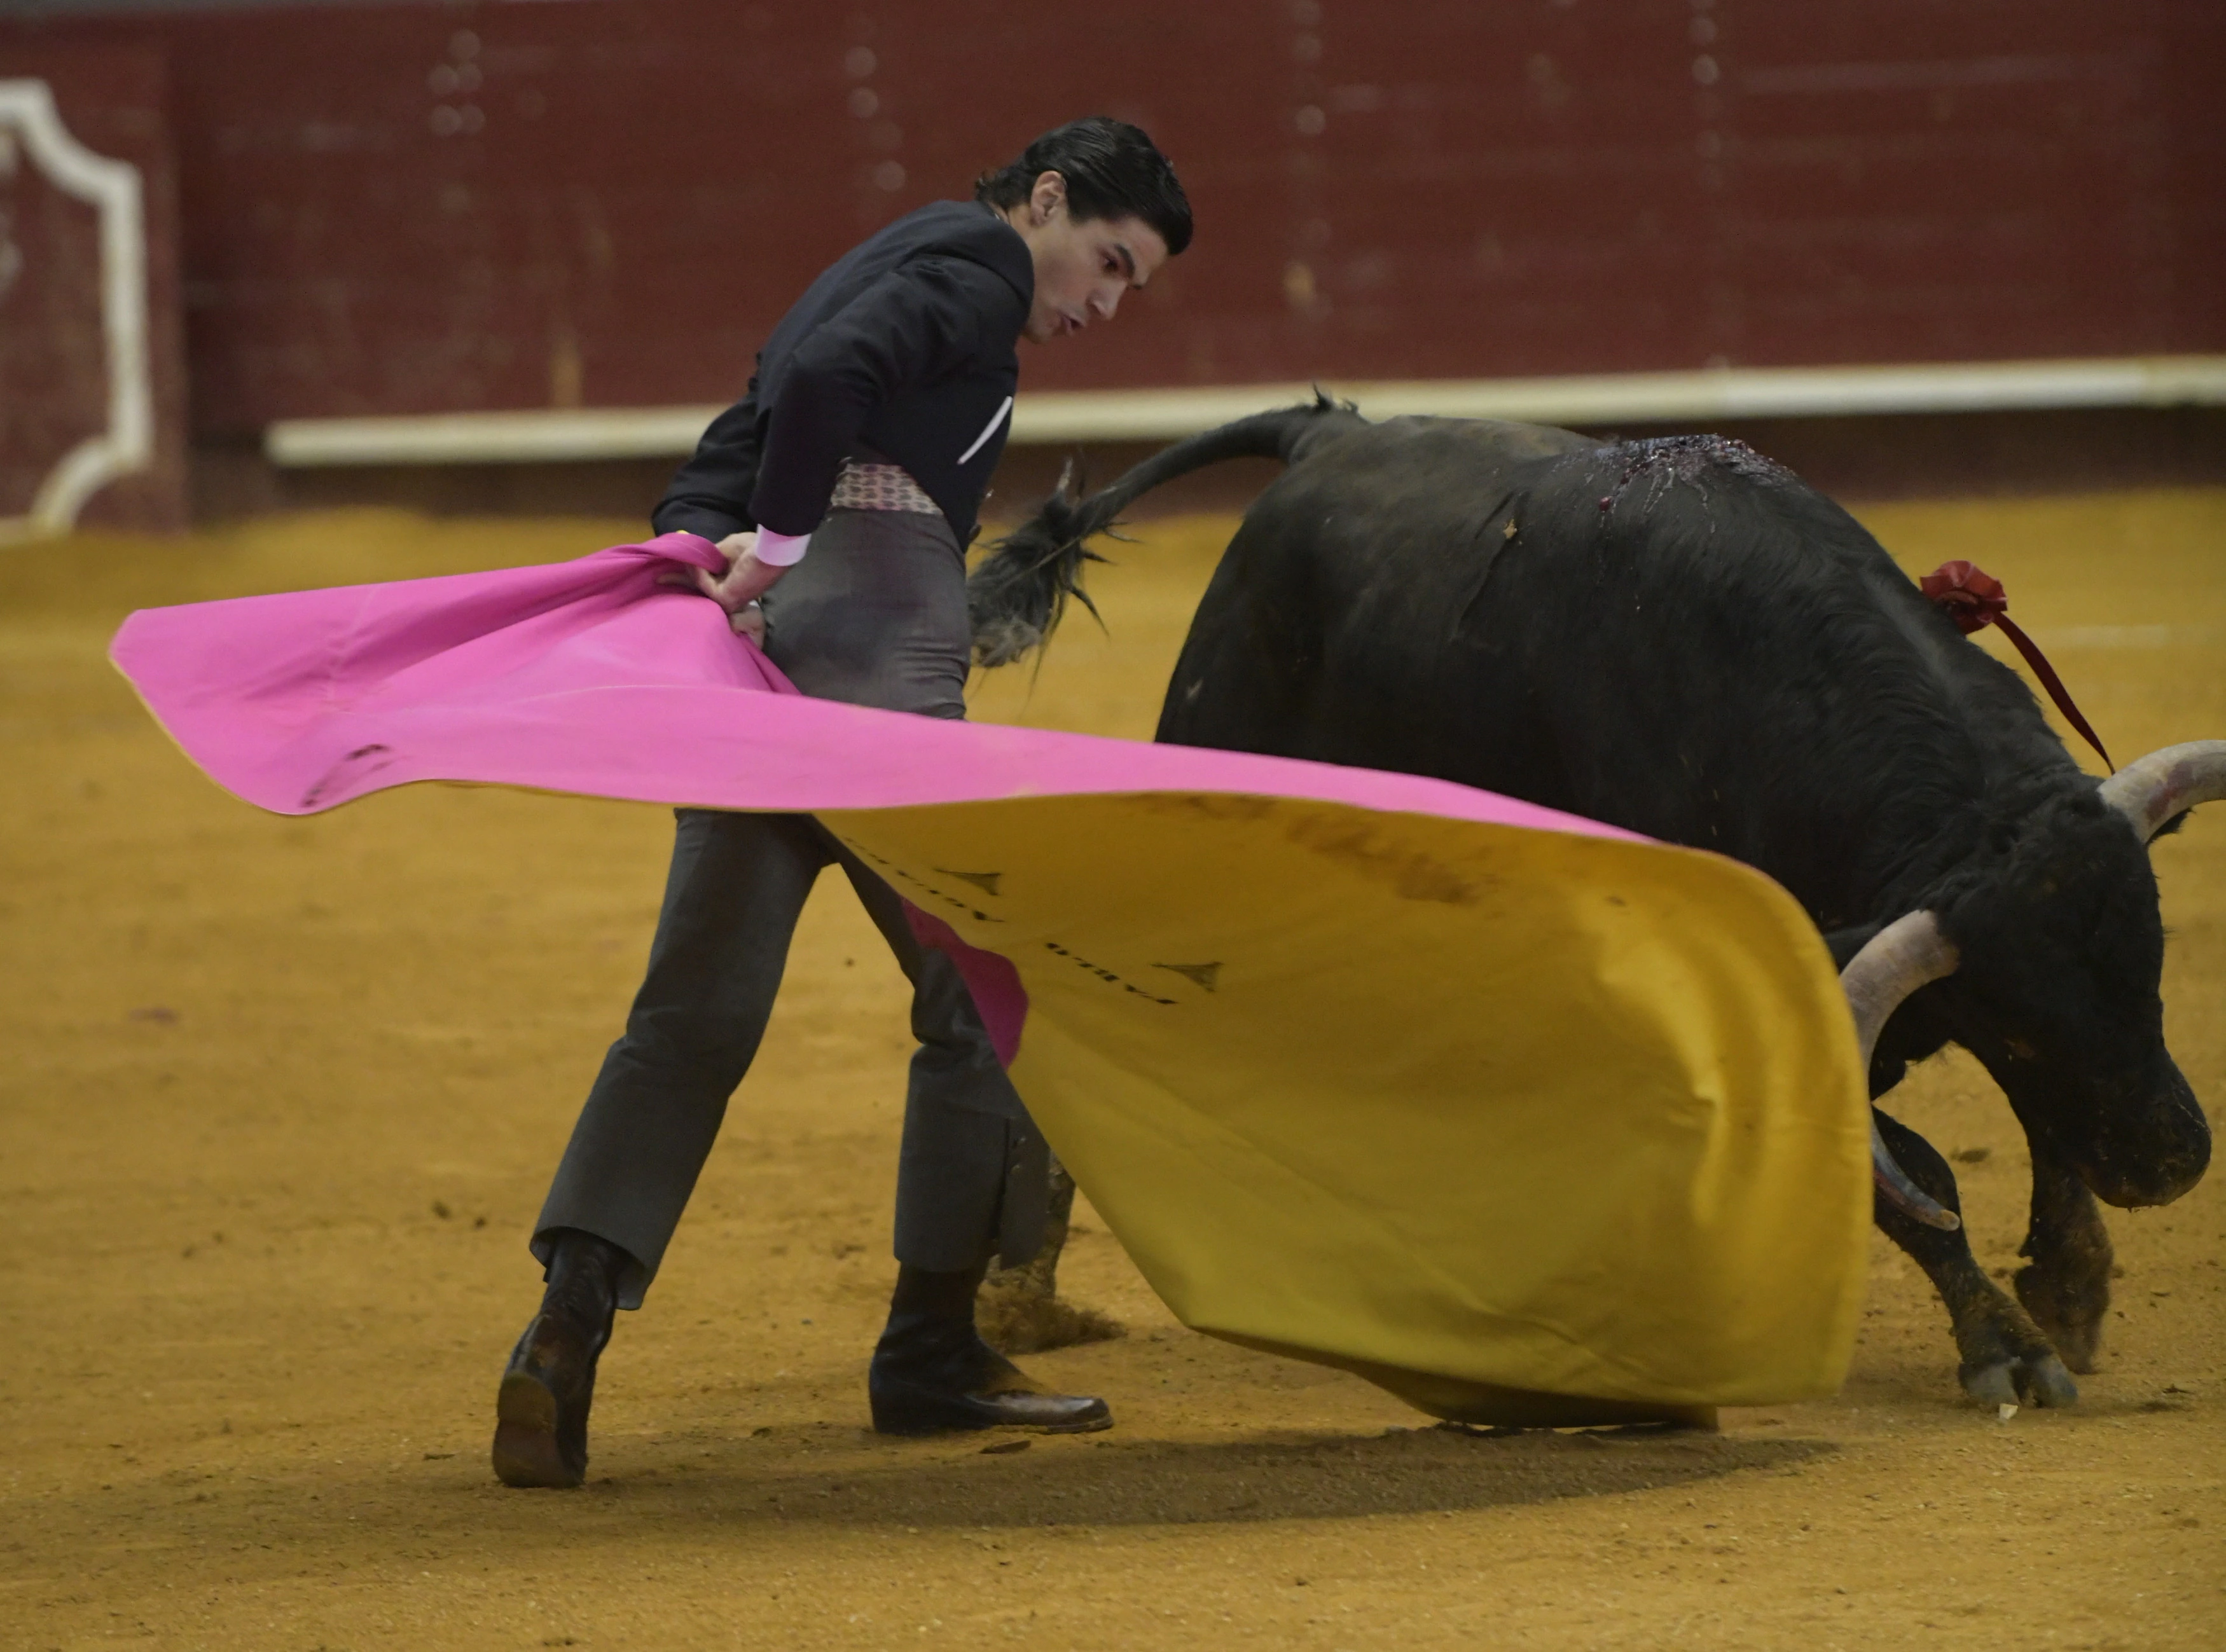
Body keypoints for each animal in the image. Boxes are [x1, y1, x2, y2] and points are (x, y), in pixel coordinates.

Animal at [979, 405, 2226, 1407]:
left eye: (2151, 964)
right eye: (2013, 1015)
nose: (2172, 1159)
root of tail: (1323, 433)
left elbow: (2039, 1123)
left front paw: (2071, 1282)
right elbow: (1923, 1173)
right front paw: (2009, 1346)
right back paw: (1021, 1302)